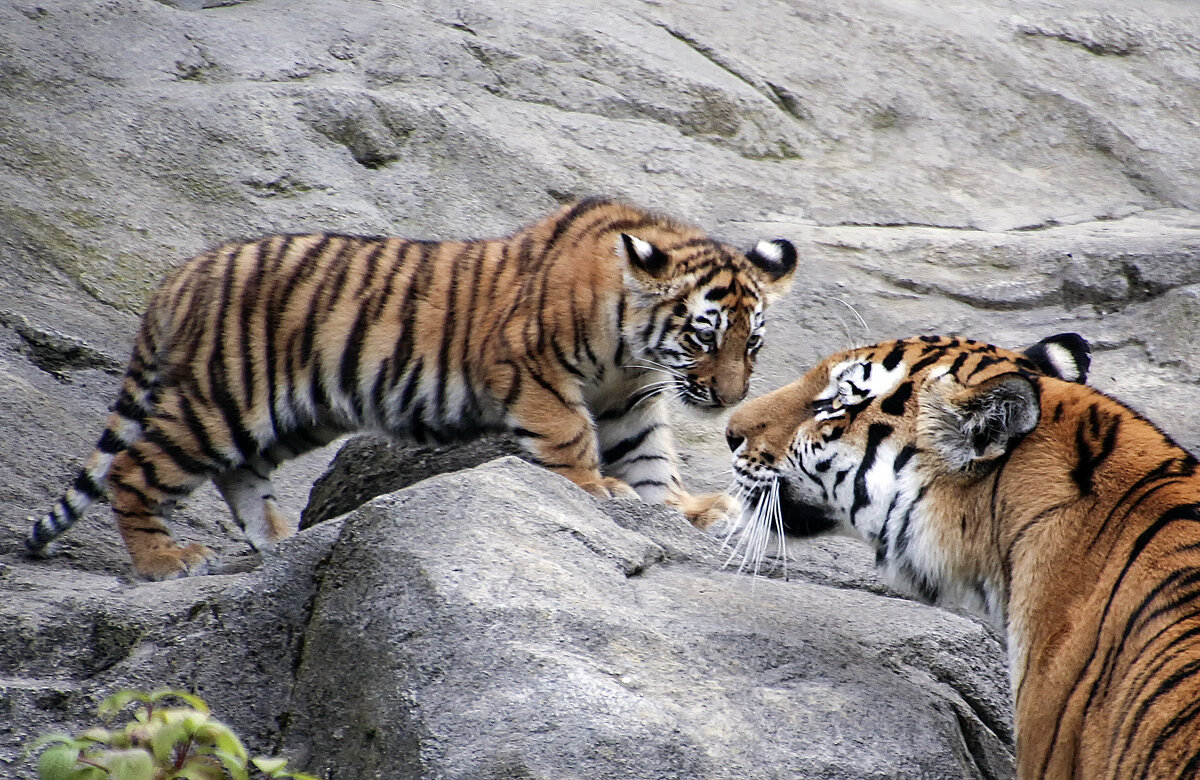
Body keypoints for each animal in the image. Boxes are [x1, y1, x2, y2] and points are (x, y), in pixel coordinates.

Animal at [25, 199, 796, 576]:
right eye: (703, 338)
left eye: (751, 344)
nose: (729, 398)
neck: (631, 345)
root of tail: (180, 276)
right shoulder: (535, 370)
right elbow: (571, 439)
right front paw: (596, 488)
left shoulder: (631, 396)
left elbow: (651, 461)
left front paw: (686, 509)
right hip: (220, 400)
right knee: (132, 469)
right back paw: (166, 562)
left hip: (288, 413)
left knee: (240, 474)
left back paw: (280, 542)